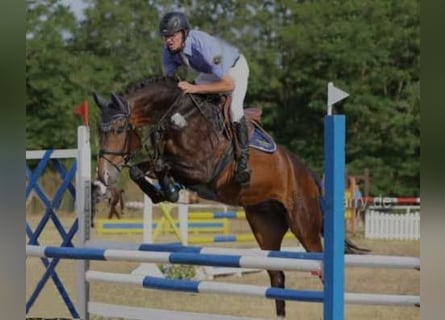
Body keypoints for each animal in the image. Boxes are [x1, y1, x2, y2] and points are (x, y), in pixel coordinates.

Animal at [92, 75, 366, 318]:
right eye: (99, 131)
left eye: (119, 129)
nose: (104, 175)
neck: (176, 117)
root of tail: (307, 174)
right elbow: (141, 169)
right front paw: (163, 191)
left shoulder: (203, 169)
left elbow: (162, 165)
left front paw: (169, 188)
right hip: (265, 227)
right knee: (277, 276)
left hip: (304, 225)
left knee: (318, 267)